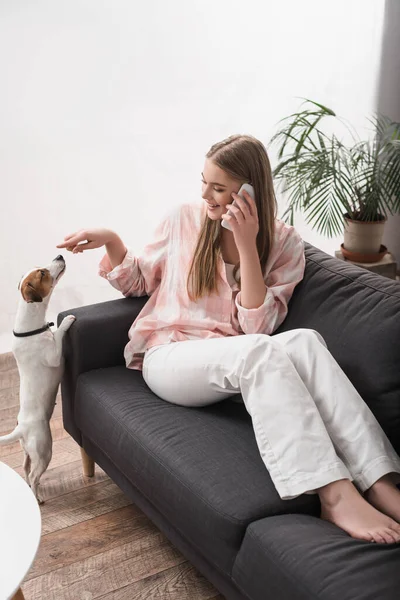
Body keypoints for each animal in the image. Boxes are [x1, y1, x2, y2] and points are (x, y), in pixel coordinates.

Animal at [0, 253, 76, 502]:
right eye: (42, 273)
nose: (60, 255)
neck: (30, 327)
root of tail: (21, 428)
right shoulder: (53, 356)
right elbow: (59, 334)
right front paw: (66, 321)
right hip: (44, 448)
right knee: (33, 474)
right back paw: (38, 496)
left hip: (29, 451)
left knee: (26, 468)